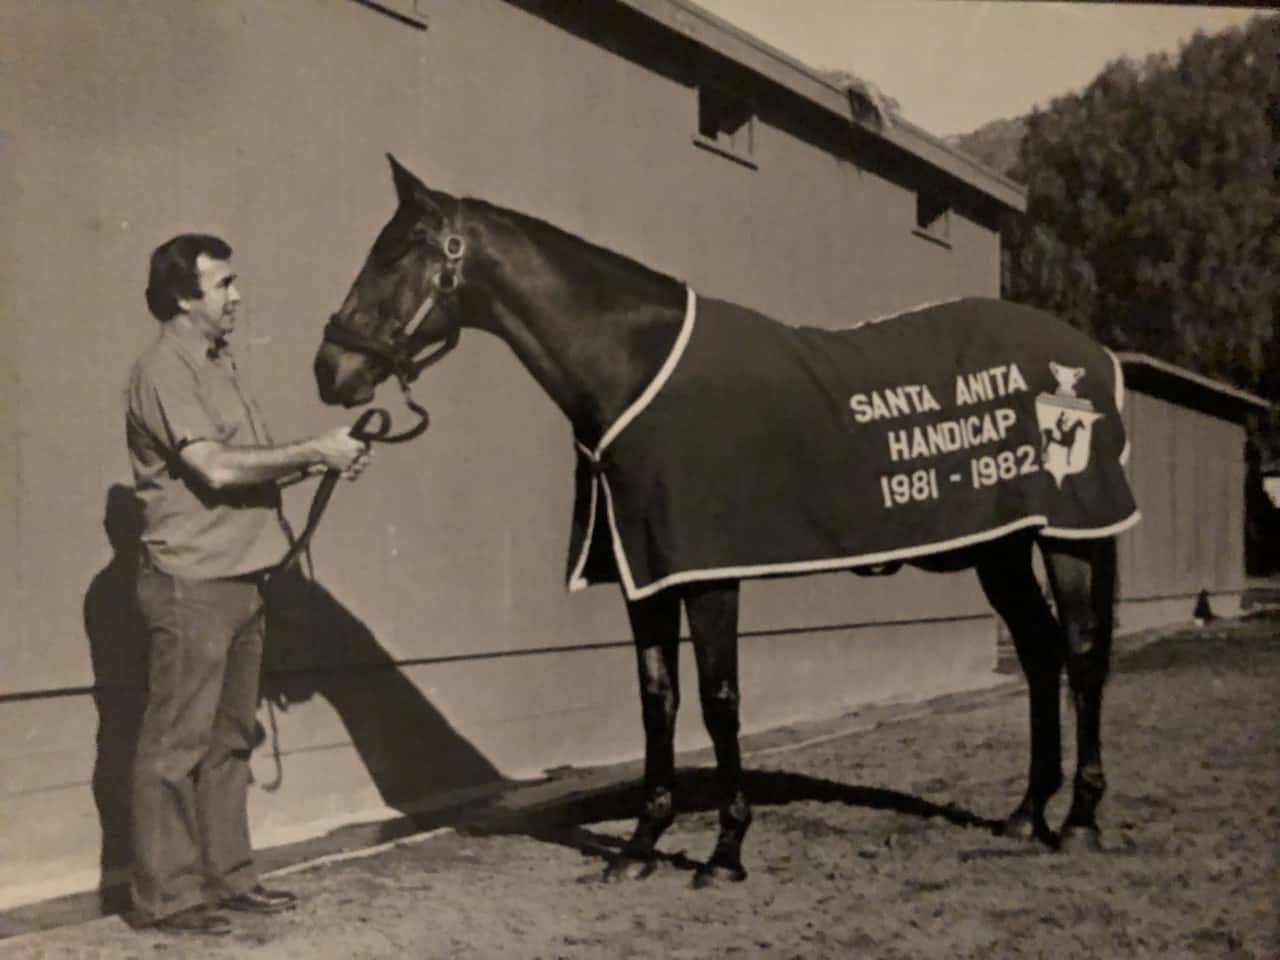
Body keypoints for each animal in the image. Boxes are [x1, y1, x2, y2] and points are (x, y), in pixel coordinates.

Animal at [317, 156, 1121, 885]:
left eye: (398, 253)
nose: (328, 369)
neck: (632, 366)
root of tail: (1091, 354)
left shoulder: (707, 572)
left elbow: (719, 699)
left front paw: (726, 850)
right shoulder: (644, 573)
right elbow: (658, 700)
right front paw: (641, 846)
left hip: (1066, 543)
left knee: (1081, 655)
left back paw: (1081, 822)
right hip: (1001, 553)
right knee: (1041, 652)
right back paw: (1027, 813)